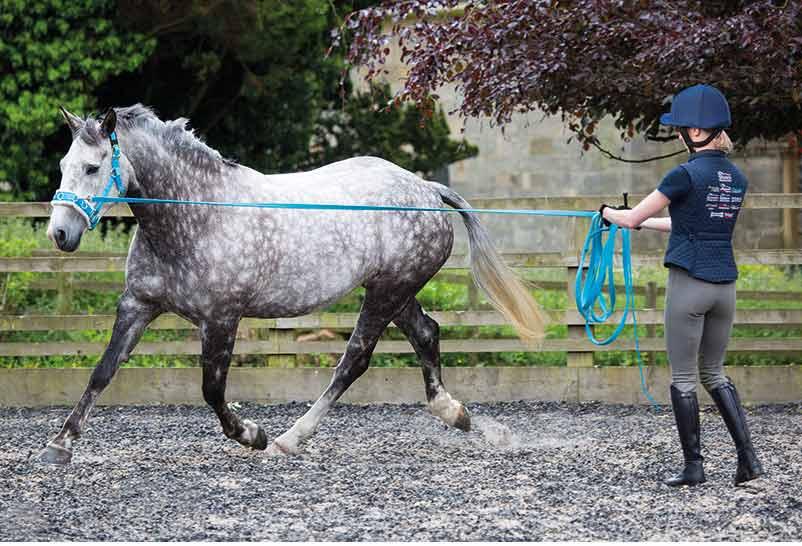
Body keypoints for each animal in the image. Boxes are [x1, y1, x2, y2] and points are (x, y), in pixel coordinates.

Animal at [40, 104, 546, 464]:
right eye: (64, 163)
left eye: (92, 168)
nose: (60, 233)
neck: (195, 216)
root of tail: (426, 189)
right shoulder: (138, 305)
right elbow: (102, 371)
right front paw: (59, 445)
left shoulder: (221, 318)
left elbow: (212, 390)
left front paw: (253, 435)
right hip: (396, 292)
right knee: (427, 333)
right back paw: (459, 415)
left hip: (386, 293)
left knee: (354, 360)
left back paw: (289, 438)